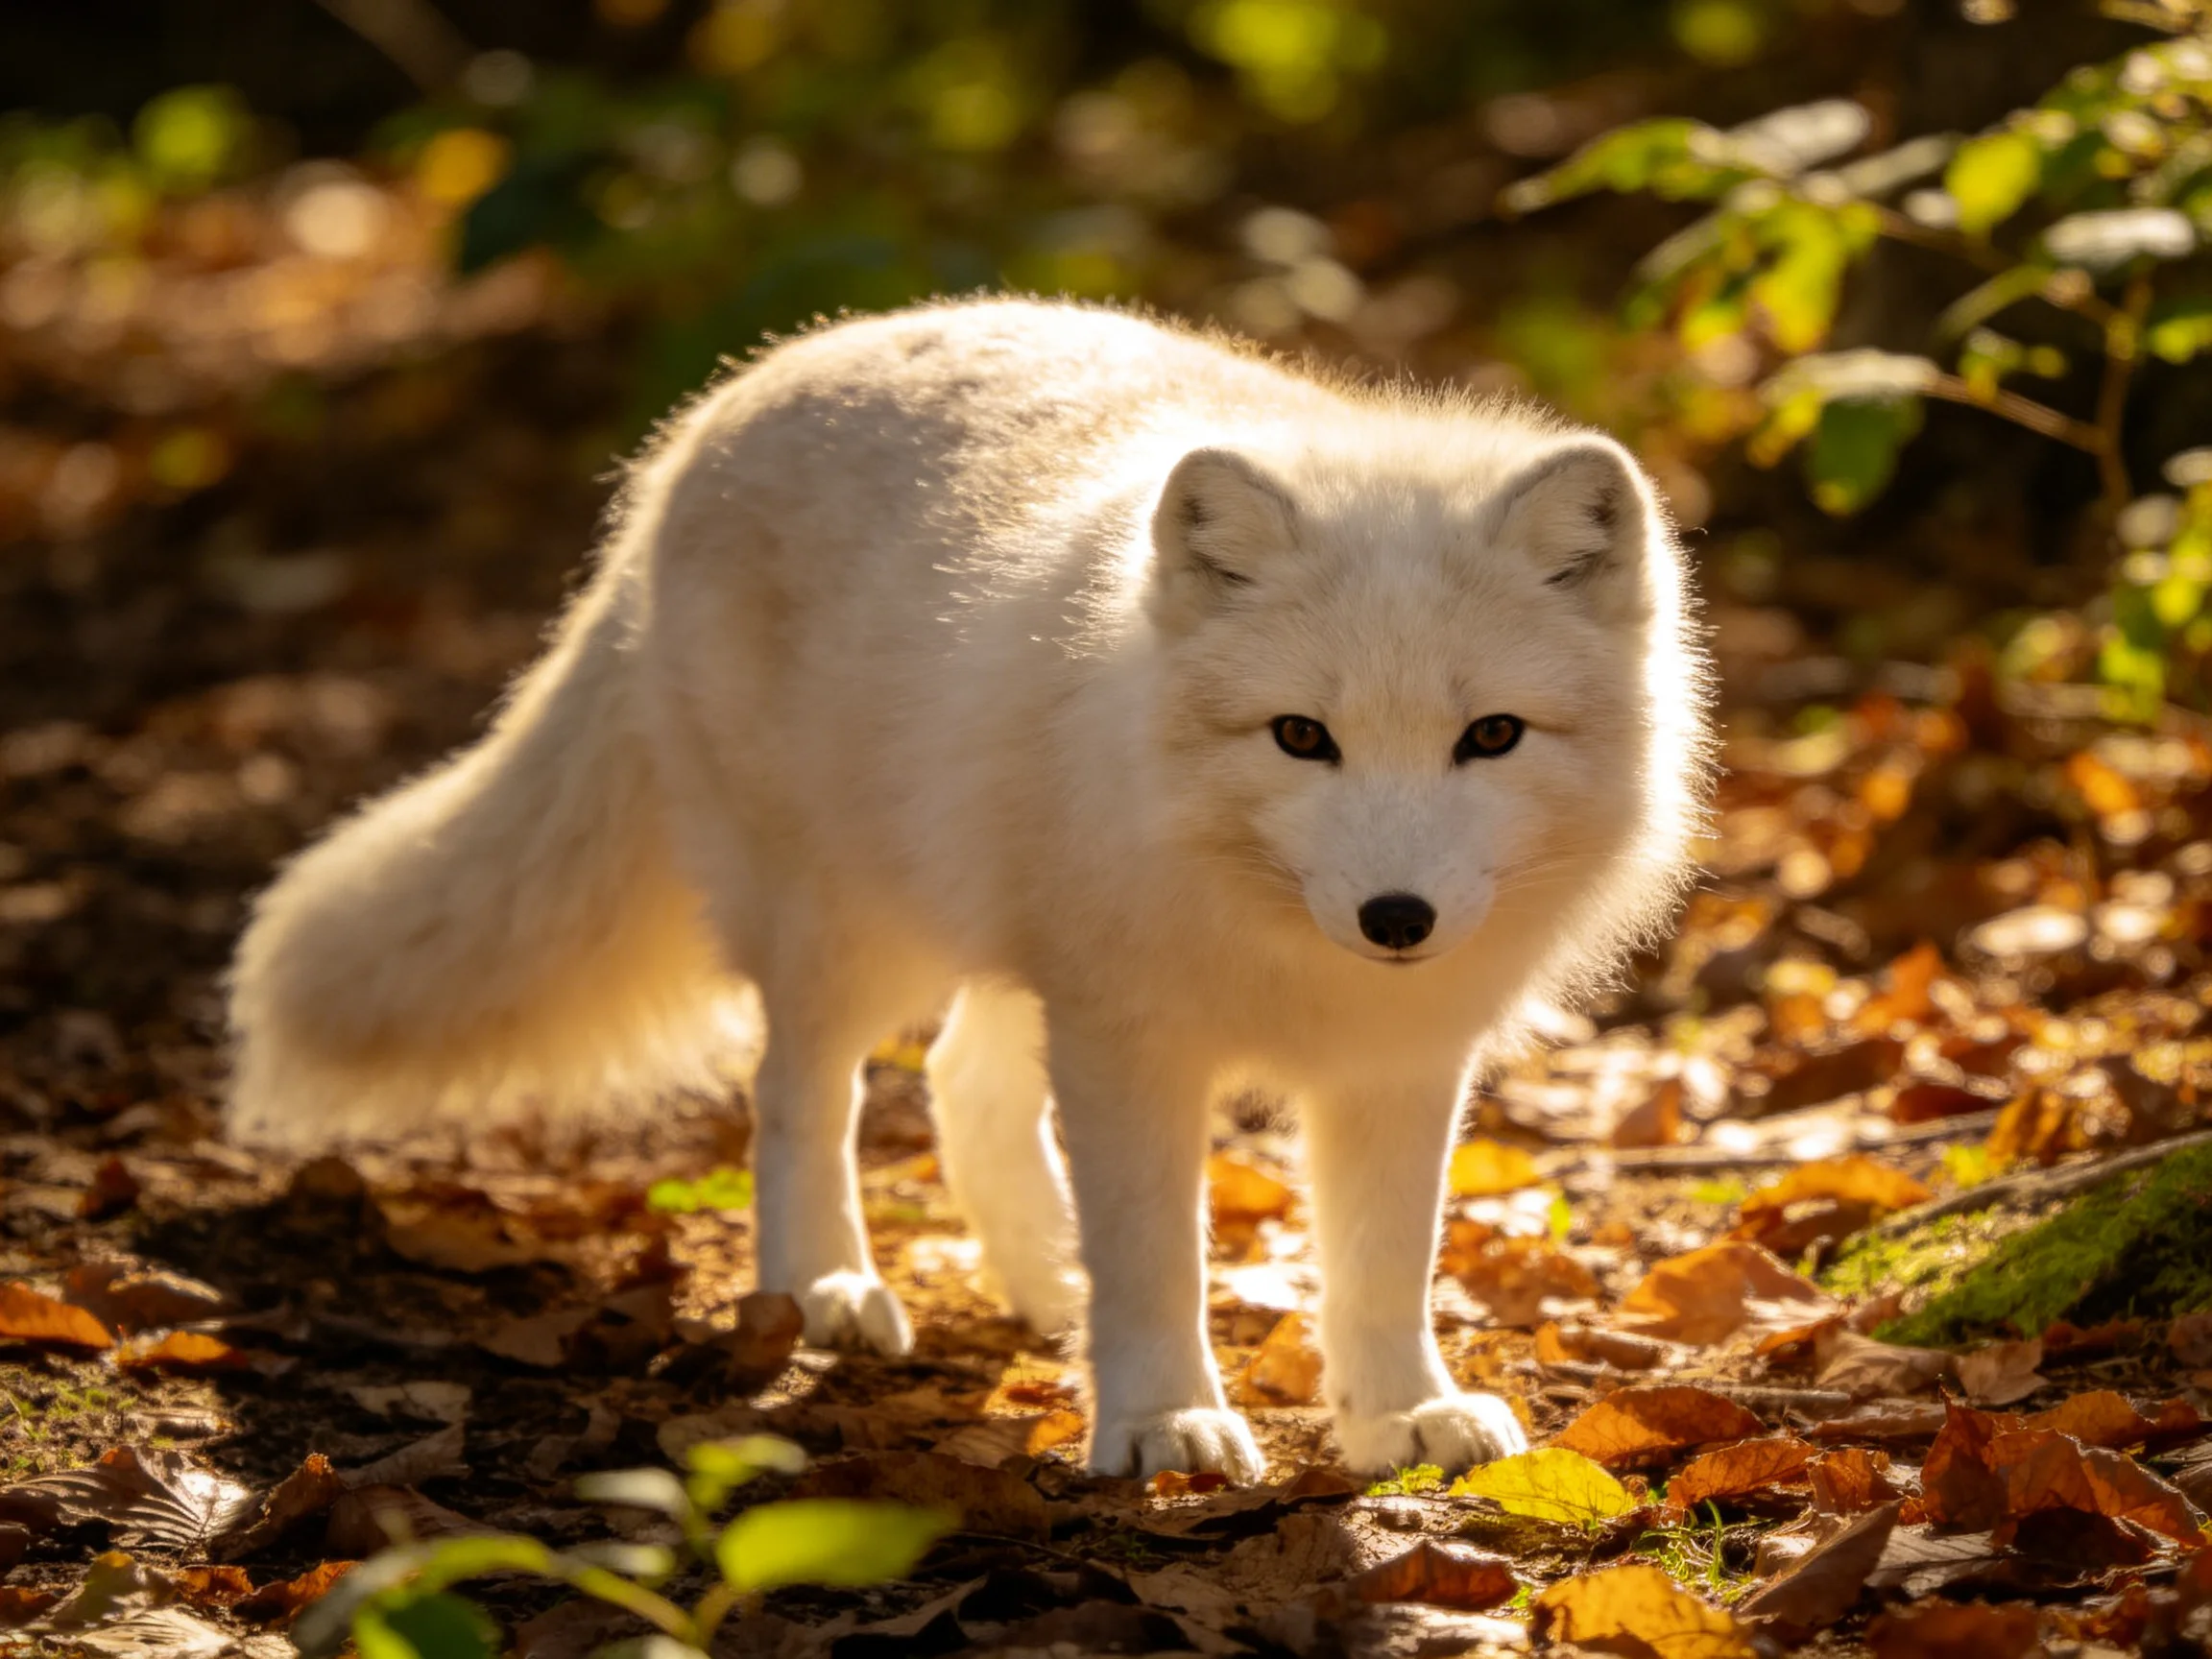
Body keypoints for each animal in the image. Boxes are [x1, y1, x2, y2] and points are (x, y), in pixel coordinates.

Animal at [227, 296, 1712, 1482]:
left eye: (1491, 736)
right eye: (1303, 736)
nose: (1395, 920)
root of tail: (712, 415)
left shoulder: (1394, 1060)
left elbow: (1386, 1267)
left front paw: (1403, 1415)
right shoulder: (1133, 1039)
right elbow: (1157, 1258)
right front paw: (1163, 1420)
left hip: (1004, 937)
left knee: (959, 1082)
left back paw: (1043, 1284)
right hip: (847, 937)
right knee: (796, 1098)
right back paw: (826, 1288)